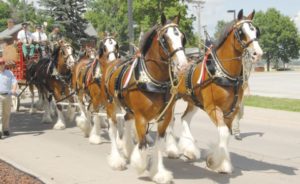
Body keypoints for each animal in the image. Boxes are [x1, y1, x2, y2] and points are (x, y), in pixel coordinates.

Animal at [104, 13, 186, 183]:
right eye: (164, 39)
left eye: (182, 37)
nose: (183, 65)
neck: (154, 80)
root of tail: (112, 62)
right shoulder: (141, 117)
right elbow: (142, 143)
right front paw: (140, 164)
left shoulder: (165, 117)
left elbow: (159, 144)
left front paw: (159, 172)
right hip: (111, 104)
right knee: (113, 128)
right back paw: (117, 159)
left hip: (128, 109)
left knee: (126, 121)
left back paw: (127, 149)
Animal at [166, 9, 262, 174]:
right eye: (241, 32)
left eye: (256, 31)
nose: (258, 53)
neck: (223, 73)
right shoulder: (213, 108)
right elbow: (223, 133)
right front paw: (216, 162)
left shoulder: (232, 111)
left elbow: (226, 134)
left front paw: (222, 163)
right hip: (171, 98)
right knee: (169, 120)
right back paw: (172, 150)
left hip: (193, 100)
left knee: (184, 118)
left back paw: (189, 150)